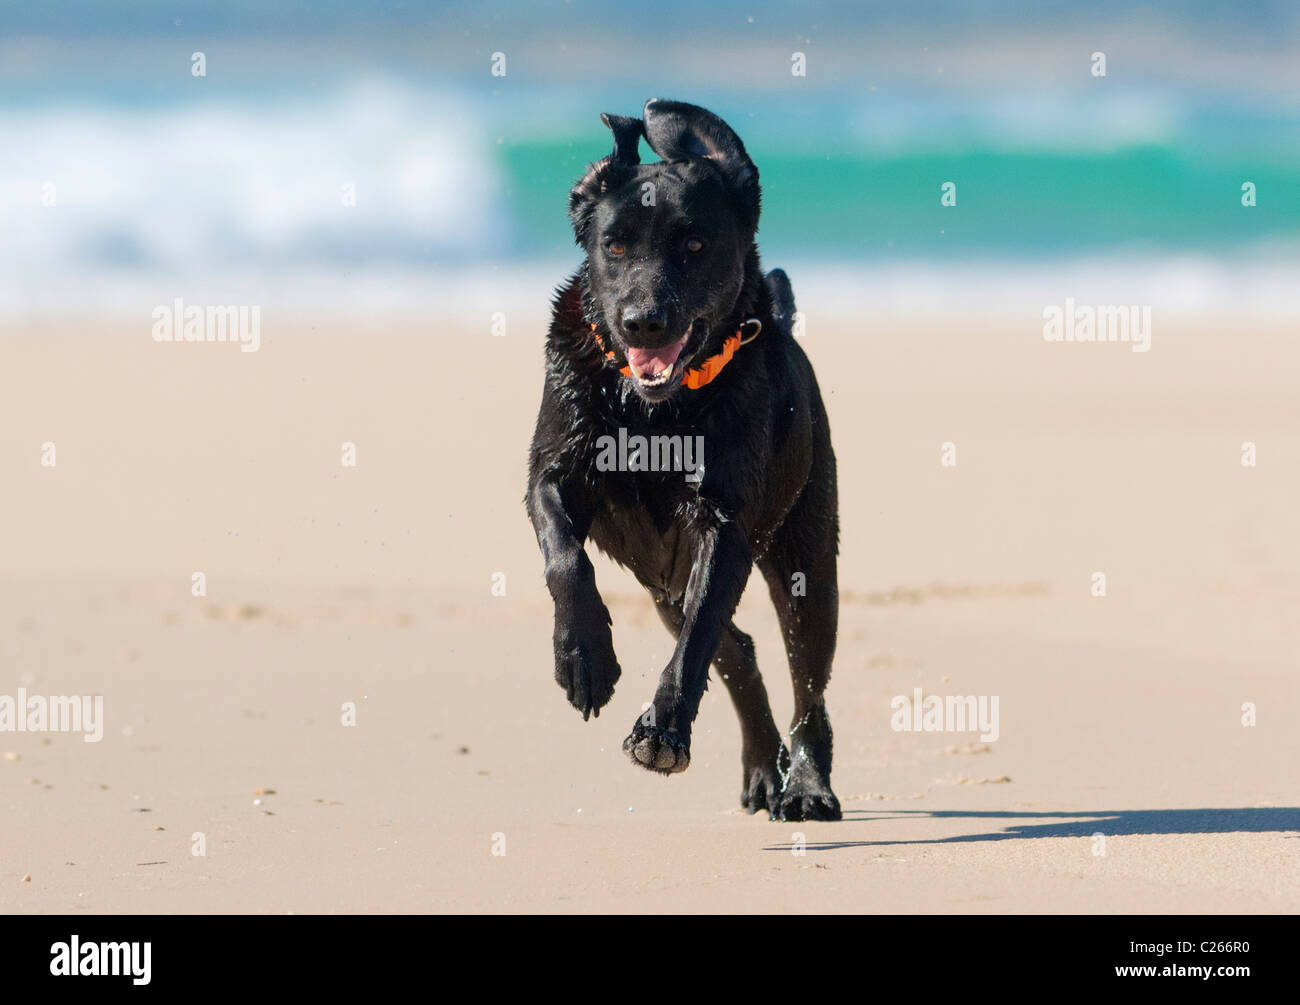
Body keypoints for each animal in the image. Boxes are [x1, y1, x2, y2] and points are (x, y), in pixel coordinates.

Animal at [527, 98, 842, 821]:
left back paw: (806, 786)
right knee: (742, 654)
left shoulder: (724, 523)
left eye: (694, 246)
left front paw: (662, 731)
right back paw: (762, 771)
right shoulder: (552, 472)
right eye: (614, 245)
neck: (654, 415)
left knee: (804, 682)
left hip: (806, 558)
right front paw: (584, 657)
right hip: (664, 579)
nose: (643, 321)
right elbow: (565, 556)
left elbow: (697, 638)